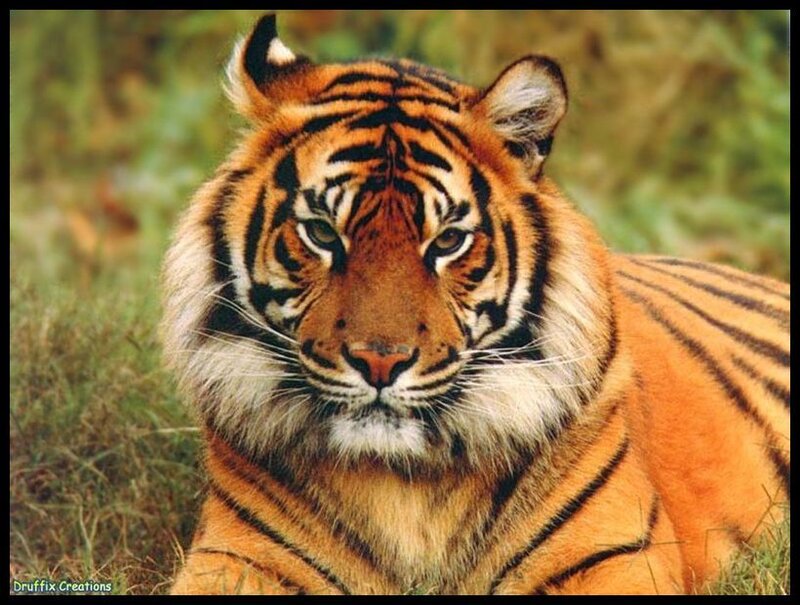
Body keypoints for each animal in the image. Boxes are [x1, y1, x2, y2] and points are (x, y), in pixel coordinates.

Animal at [161, 14, 790, 595]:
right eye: (321, 233)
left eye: (447, 242)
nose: (380, 362)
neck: (404, 488)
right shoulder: (239, 558)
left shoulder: (612, 558)